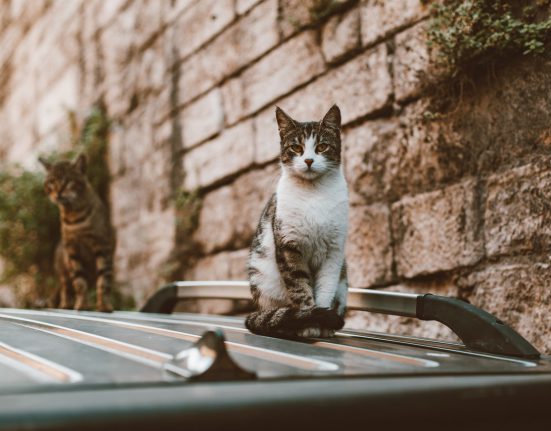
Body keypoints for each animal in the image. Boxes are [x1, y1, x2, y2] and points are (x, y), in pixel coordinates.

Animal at [39, 155, 114, 314]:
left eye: (68, 181)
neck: (74, 216)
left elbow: (104, 280)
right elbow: (79, 282)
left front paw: (104, 306)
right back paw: (66, 304)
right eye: (51, 182)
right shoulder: (72, 249)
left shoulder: (102, 246)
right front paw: (81, 305)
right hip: (62, 267)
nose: (58, 193)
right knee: (65, 287)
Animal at [247, 104, 350, 338]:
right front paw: (309, 323)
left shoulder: (334, 251)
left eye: (322, 146)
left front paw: (323, 322)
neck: (314, 193)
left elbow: (325, 289)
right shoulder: (289, 247)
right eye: (296, 148)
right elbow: (301, 290)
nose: (309, 160)